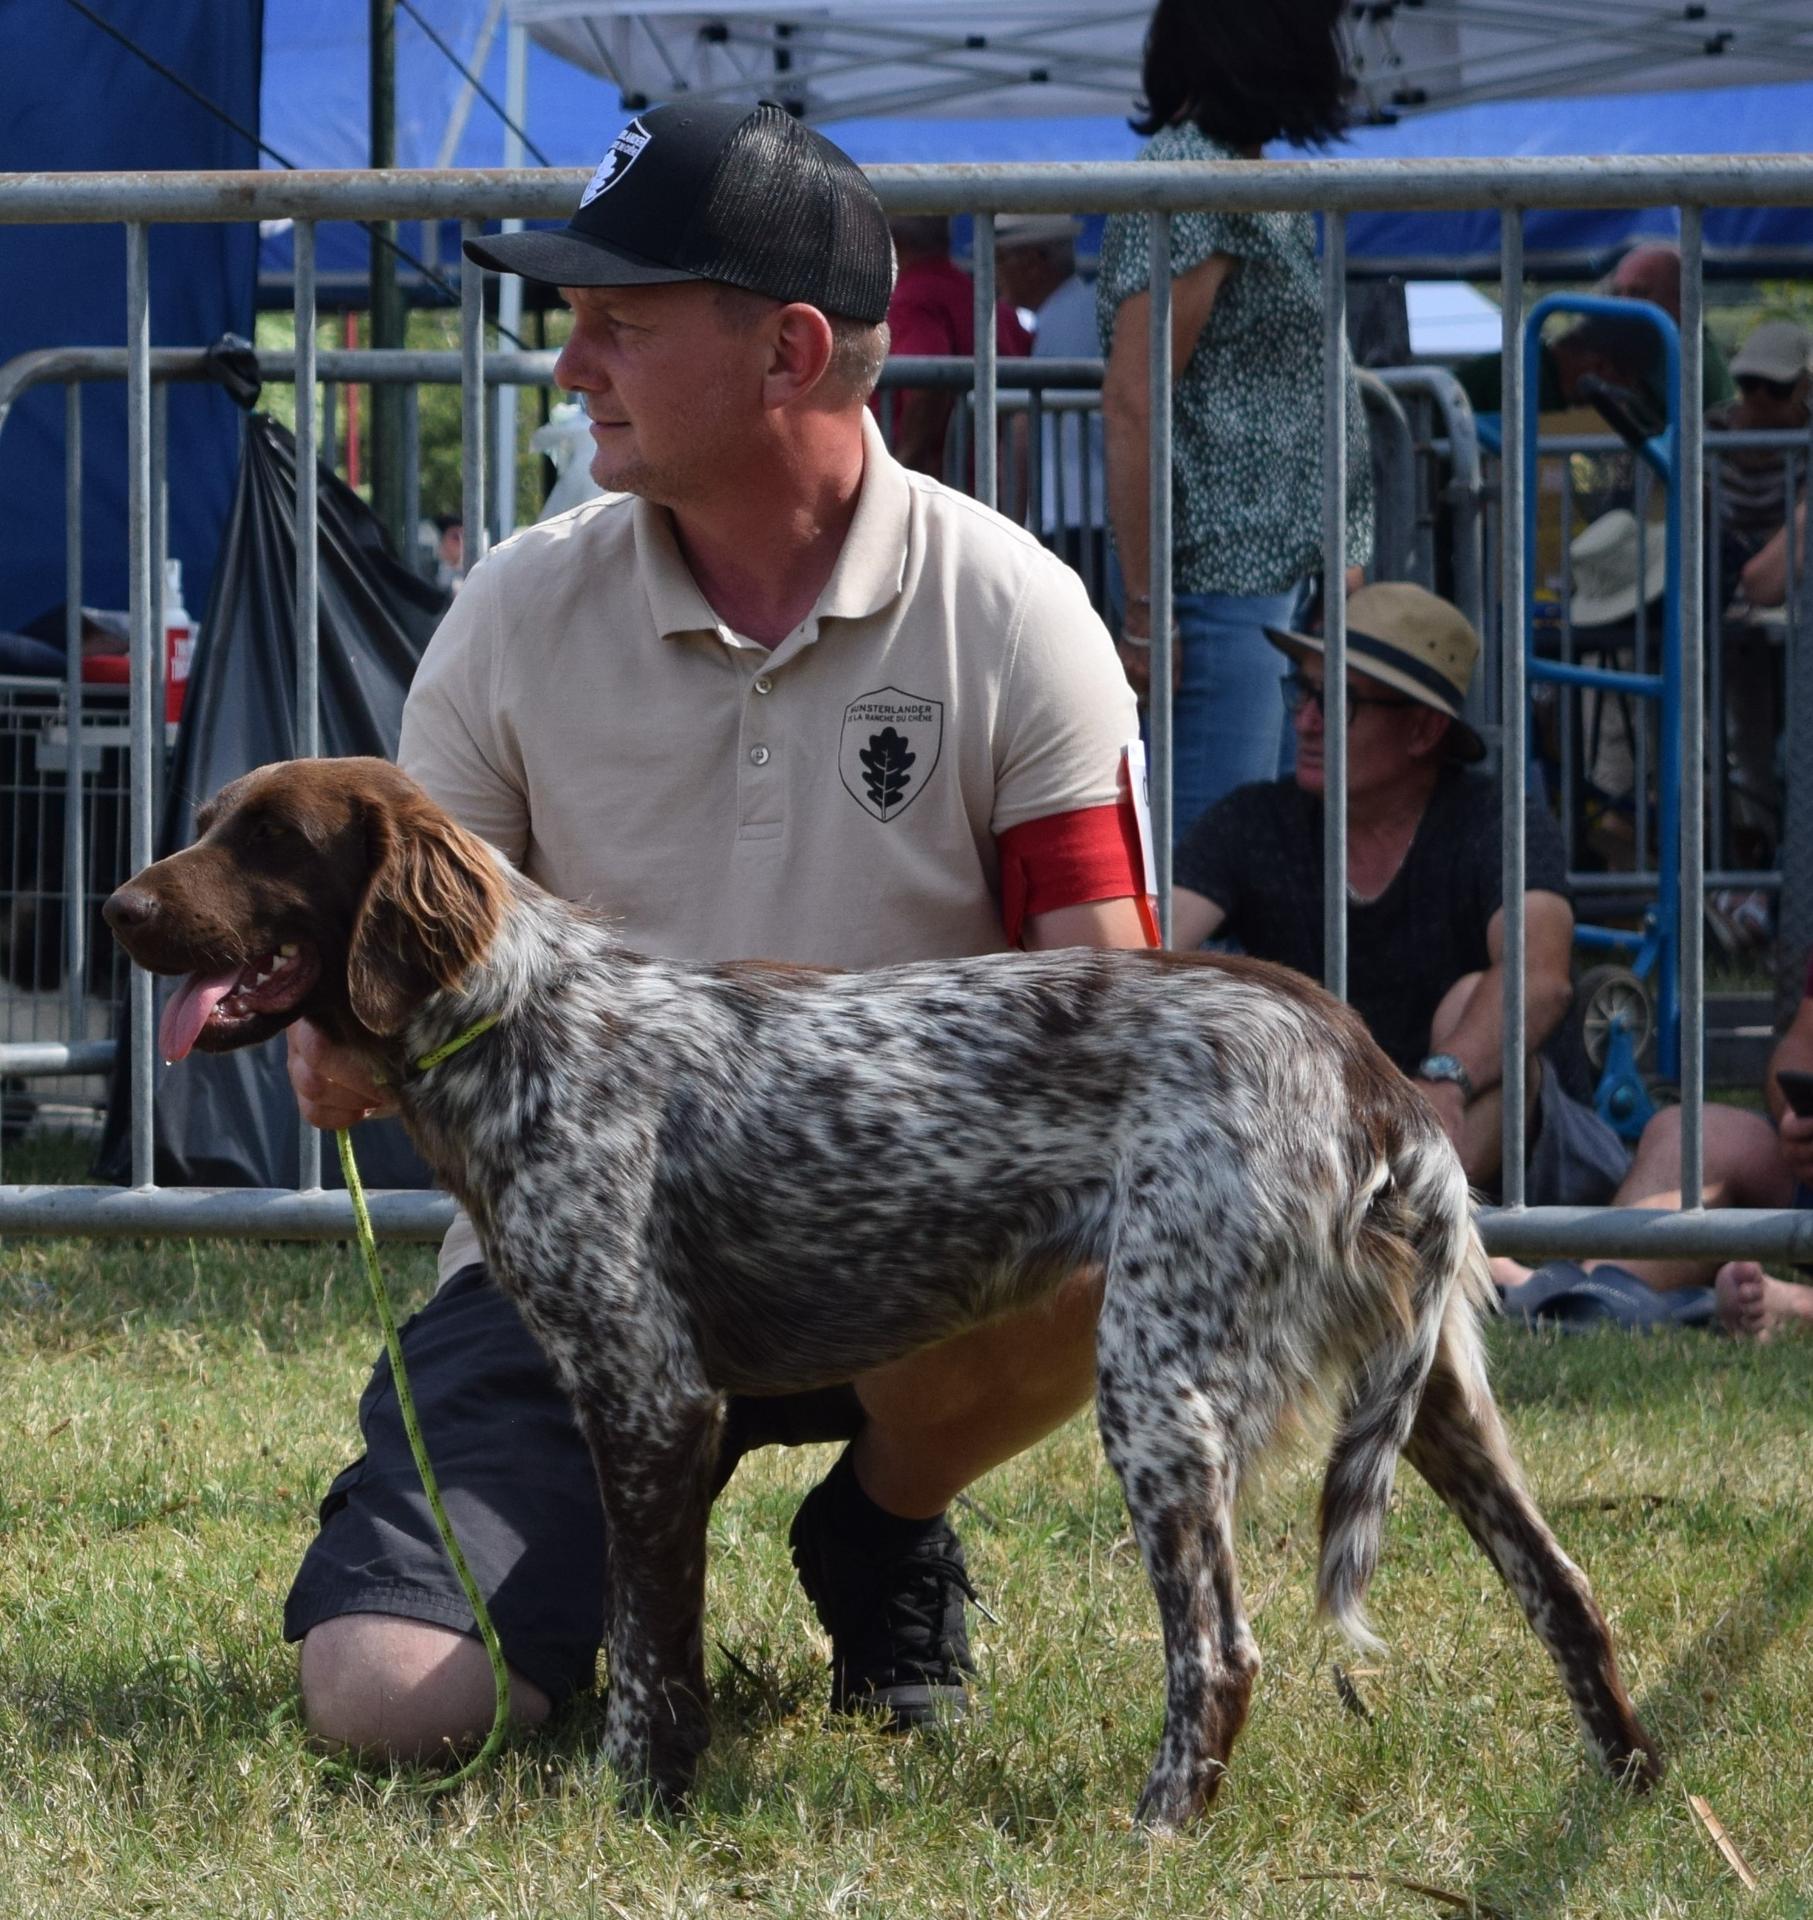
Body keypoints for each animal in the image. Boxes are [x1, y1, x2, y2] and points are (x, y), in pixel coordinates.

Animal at [102, 756, 1659, 1820]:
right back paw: (1636, 1787)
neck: (522, 1025)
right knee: (1568, 1593)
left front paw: (637, 1802)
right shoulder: (663, 1415)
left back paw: (1157, 1833)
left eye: (268, 840)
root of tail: (1370, 1070)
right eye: (216, 821)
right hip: (1435, 1397)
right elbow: (650, 1636)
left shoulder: (648, 1401)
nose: (117, 904)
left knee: (1219, 1655)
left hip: (1158, 1387)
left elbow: (650, 1655)